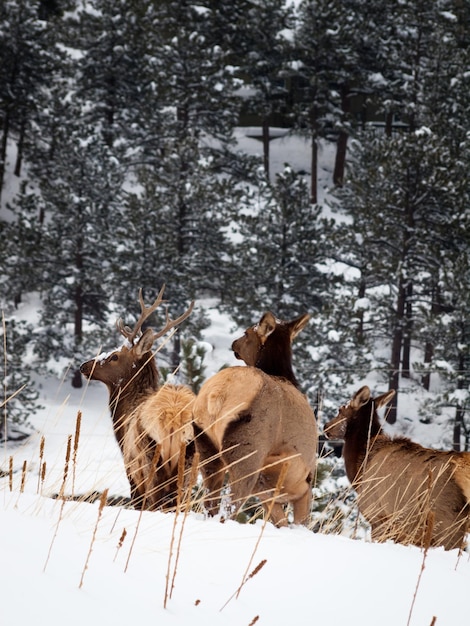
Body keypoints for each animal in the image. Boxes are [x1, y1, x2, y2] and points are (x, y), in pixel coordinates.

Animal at [80, 286, 194, 510]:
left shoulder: (130, 470)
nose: (84, 366)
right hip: (190, 468)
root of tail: (173, 419)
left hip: (150, 464)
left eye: (114, 356)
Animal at [192, 310, 320, 524]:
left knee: (211, 502)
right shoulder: (304, 484)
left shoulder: (268, 495)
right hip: (247, 448)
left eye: (246, 333)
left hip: (205, 443)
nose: (234, 343)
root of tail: (218, 393)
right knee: (229, 507)